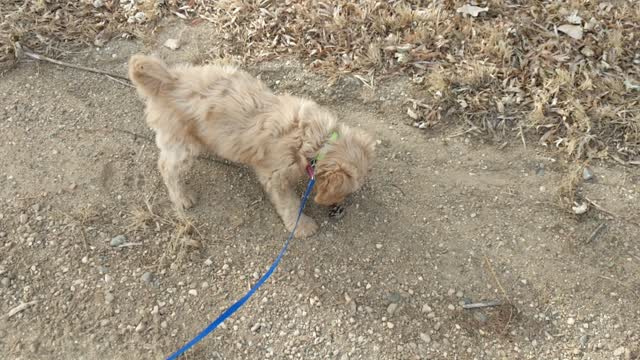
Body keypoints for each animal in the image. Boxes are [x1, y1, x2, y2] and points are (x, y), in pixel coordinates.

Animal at [127, 54, 376, 238]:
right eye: (346, 192)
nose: (339, 206)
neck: (312, 137)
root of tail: (170, 80)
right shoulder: (275, 177)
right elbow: (290, 204)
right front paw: (302, 226)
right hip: (183, 145)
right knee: (167, 167)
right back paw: (182, 198)